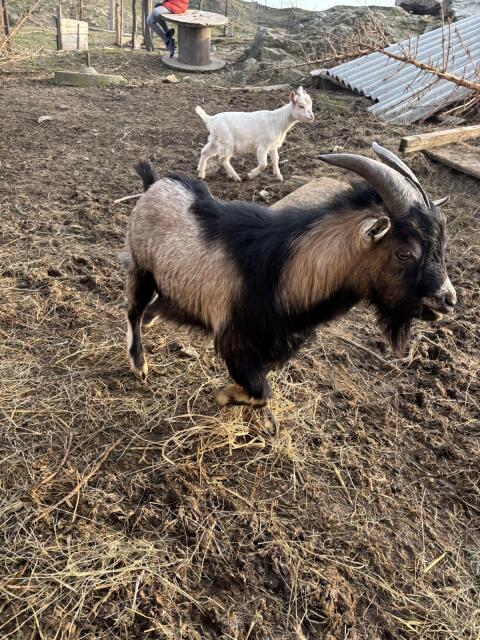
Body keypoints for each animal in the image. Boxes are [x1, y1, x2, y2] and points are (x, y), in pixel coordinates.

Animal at [122, 143, 456, 407]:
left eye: (442, 244)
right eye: (404, 253)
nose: (448, 299)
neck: (287, 269)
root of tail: (154, 184)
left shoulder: (276, 348)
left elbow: (262, 388)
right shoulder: (236, 342)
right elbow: (260, 393)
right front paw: (224, 396)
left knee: (155, 306)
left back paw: (154, 320)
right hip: (141, 268)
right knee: (134, 310)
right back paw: (139, 363)